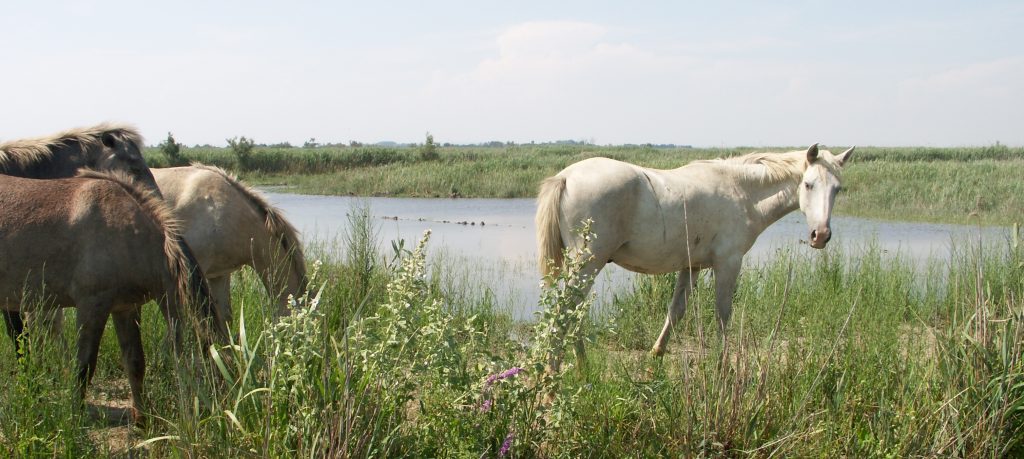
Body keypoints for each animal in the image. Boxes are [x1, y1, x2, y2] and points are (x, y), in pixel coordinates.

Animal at [0, 172, 226, 422]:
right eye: (214, 362)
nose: (225, 414)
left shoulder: (125, 308)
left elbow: (135, 362)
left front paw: (142, 419)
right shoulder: (92, 306)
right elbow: (84, 367)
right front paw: (75, 418)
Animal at [532, 143, 851, 354]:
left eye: (837, 189)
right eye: (808, 184)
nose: (820, 235)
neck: (741, 191)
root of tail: (566, 176)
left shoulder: (691, 266)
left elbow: (676, 311)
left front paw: (656, 356)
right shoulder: (728, 264)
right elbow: (723, 315)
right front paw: (722, 363)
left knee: (571, 317)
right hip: (586, 266)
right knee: (562, 317)